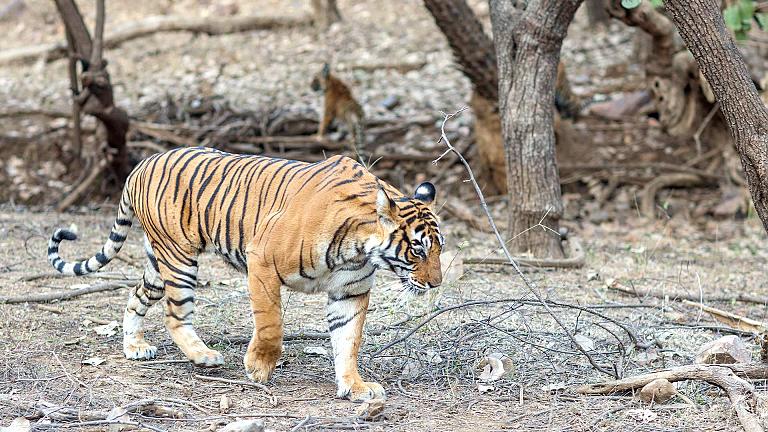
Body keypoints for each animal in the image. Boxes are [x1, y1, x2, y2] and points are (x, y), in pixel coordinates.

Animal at [47, 147, 443, 402]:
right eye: (418, 249)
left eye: (439, 248)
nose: (436, 283)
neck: (360, 248)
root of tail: (141, 165)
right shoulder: (262, 262)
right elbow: (271, 326)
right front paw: (258, 368)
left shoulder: (350, 291)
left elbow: (348, 341)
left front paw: (355, 387)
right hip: (179, 258)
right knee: (175, 315)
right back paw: (203, 356)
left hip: (158, 263)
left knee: (136, 296)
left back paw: (135, 347)